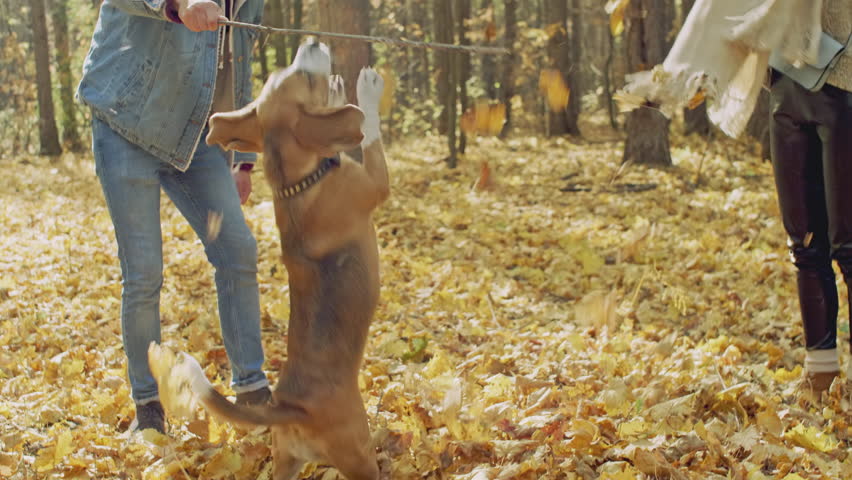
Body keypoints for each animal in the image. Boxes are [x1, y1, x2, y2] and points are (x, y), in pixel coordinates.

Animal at [176, 41, 390, 480]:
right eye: (304, 78)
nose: (311, 42)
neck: (299, 183)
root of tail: (292, 409)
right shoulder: (375, 184)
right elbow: (370, 132)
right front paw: (366, 89)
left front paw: (339, 90)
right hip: (360, 457)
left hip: (285, 461)